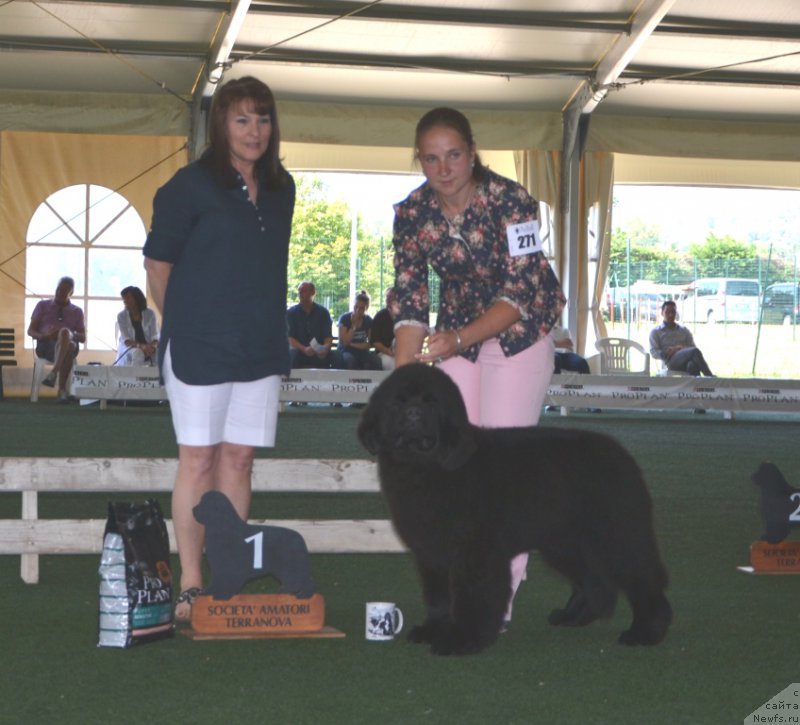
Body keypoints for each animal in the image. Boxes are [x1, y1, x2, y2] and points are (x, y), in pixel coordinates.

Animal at [360, 364, 672, 652]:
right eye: (397, 402)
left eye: (431, 402)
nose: (413, 414)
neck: (425, 468)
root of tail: (621, 454)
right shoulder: (430, 552)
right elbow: (438, 597)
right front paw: (433, 629)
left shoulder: (476, 552)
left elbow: (472, 595)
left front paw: (463, 639)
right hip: (566, 543)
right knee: (594, 581)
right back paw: (572, 617)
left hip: (616, 535)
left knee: (643, 580)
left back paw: (646, 632)